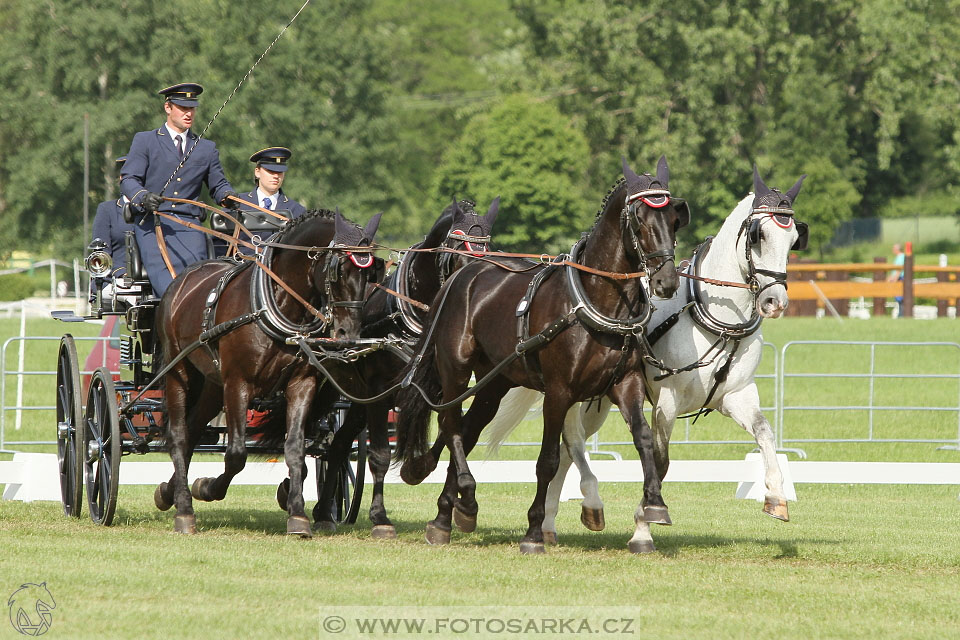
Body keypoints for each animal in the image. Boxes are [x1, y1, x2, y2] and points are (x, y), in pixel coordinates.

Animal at [157, 209, 382, 536]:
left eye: (371, 273)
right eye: (338, 269)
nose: (347, 334)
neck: (278, 306)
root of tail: (182, 281)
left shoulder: (302, 384)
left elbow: (296, 450)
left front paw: (298, 514)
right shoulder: (238, 383)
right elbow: (236, 454)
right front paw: (208, 488)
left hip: (213, 384)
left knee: (193, 429)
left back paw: (168, 492)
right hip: (179, 371)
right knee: (178, 435)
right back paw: (184, 509)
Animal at [310, 198, 502, 536]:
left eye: (487, 250)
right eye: (457, 250)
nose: (474, 286)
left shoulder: (438, 387)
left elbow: (451, 430)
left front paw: (418, 469)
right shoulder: (379, 389)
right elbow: (380, 455)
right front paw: (380, 517)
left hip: (358, 400)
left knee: (339, 445)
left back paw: (324, 512)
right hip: (334, 386)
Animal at [394, 158, 688, 552]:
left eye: (673, 218)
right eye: (639, 218)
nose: (666, 282)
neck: (595, 299)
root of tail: (461, 276)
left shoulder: (626, 384)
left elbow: (643, 439)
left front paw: (655, 503)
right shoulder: (558, 392)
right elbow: (547, 460)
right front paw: (534, 531)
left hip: (494, 382)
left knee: (468, 430)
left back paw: (447, 514)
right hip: (455, 369)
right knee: (451, 425)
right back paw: (462, 500)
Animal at [484, 168, 808, 552]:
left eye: (793, 240)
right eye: (759, 236)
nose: (775, 302)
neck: (713, 318)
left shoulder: (736, 396)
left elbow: (764, 433)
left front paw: (776, 496)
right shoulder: (666, 401)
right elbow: (660, 460)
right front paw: (643, 526)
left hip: (596, 401)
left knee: (564, 450)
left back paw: (549, 523)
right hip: (577, 395)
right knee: (572, 441)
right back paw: (578, 508)